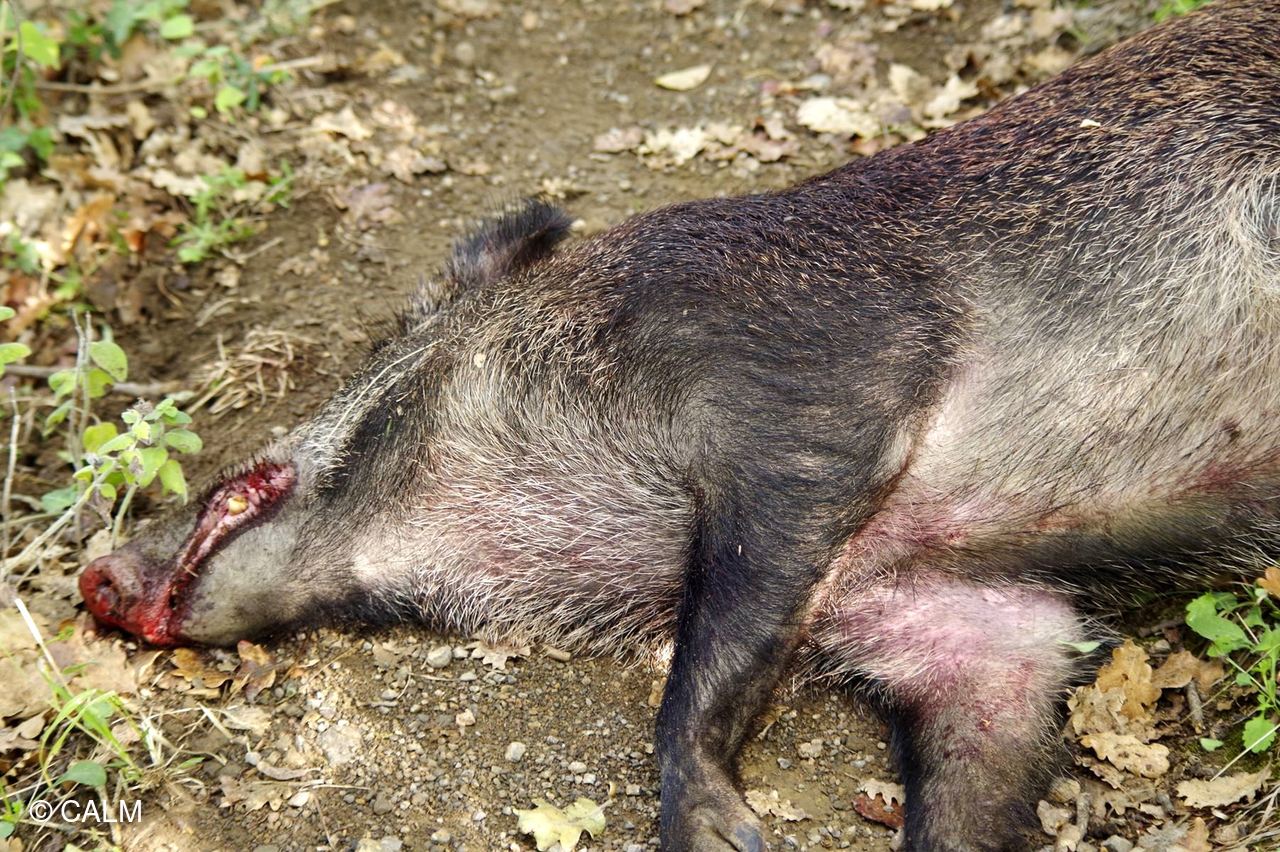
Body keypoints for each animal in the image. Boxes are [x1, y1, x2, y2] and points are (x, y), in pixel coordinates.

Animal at [79, 1, 1280, 848]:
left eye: (382, 359)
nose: (93, 573)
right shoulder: (959, 619)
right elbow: (983, 729)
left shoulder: (813, 392)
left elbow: (711, 648)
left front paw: (719, 835)